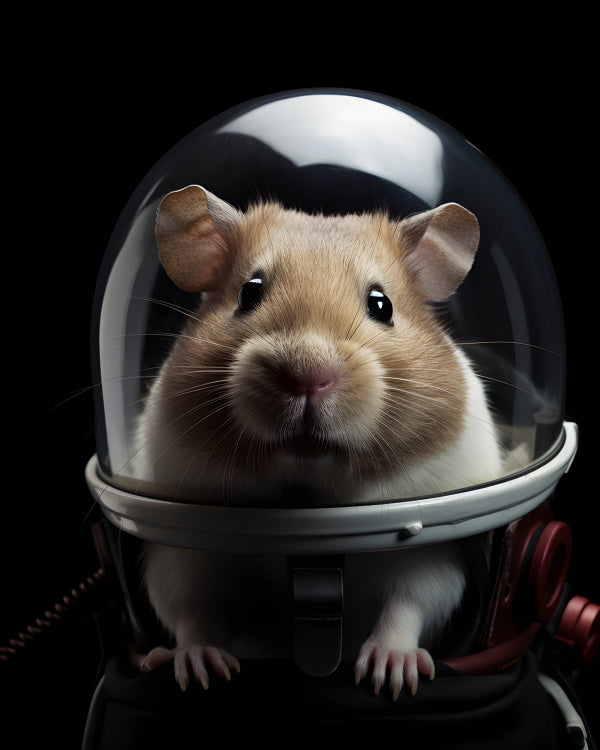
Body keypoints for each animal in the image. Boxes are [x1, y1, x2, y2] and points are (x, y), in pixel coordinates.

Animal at [135, 185, 503, 699]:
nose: (307, 375)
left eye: (382, 305)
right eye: (249, 292)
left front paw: (390, 676)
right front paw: (203, 669)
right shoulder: (182, 548)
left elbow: (410, 602)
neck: (310, 488)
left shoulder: (432, 550)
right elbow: (188, 608)